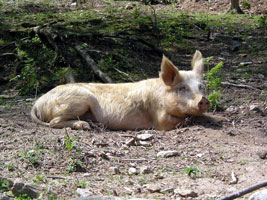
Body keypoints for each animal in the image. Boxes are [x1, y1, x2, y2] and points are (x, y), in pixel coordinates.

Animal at [31, 50, 210, 130]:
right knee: (53, 122)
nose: (203, 100)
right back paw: (85, 126)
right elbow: (180, 121)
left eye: (201, 87)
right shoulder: (159, 119)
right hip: (79, 100)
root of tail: (38, 102)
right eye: (182, 88)